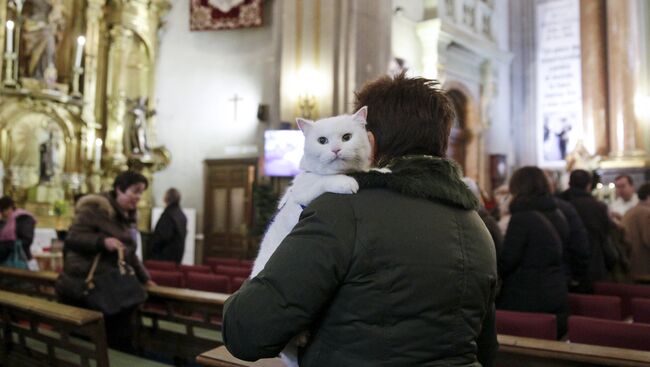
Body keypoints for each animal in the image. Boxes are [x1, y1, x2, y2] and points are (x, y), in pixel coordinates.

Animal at [249, 106, 370, 367]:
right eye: (322, 141)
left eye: (347, 137)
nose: (335, 149)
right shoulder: (305, 190)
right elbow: (325, 180)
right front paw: (346, 183)